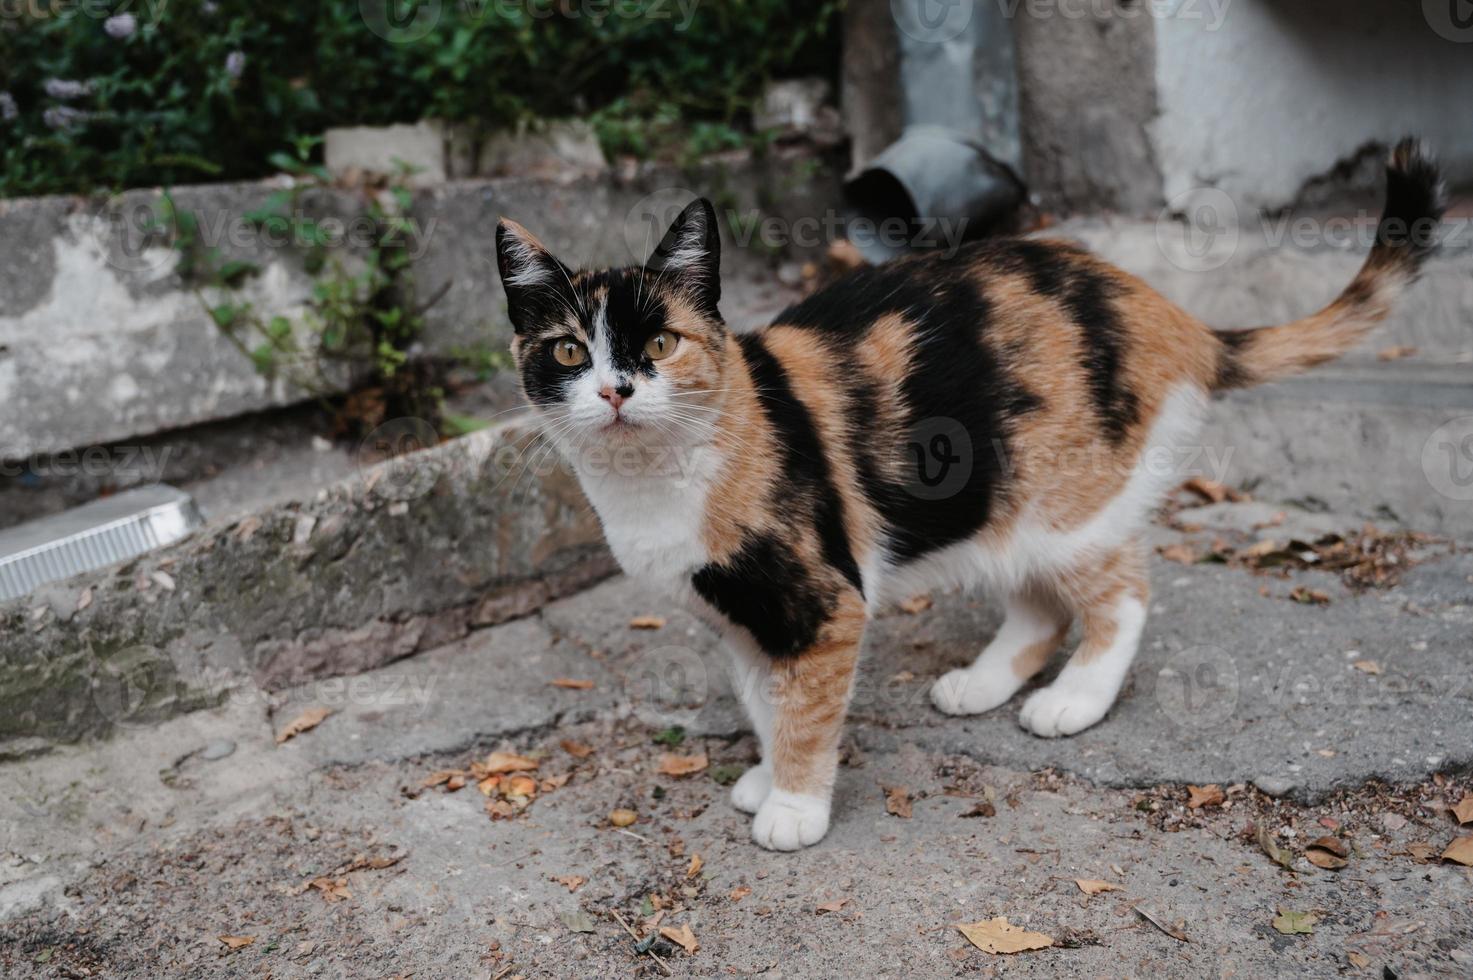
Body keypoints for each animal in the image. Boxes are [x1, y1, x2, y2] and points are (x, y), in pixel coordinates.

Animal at [500, 139, 1443, 848]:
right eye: (568, 351)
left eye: (660, 342)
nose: (614, 391)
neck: (655, 482)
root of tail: (1170, 314)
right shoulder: (739, 620)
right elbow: (768, 704)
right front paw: (767, 776)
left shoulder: (821, 601)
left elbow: (806, 707)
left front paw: (795, 807)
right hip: (999, 505)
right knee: (1039, 604)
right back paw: (983, 685)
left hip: (1064, 505)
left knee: (1120, 597)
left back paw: (1072, 700)